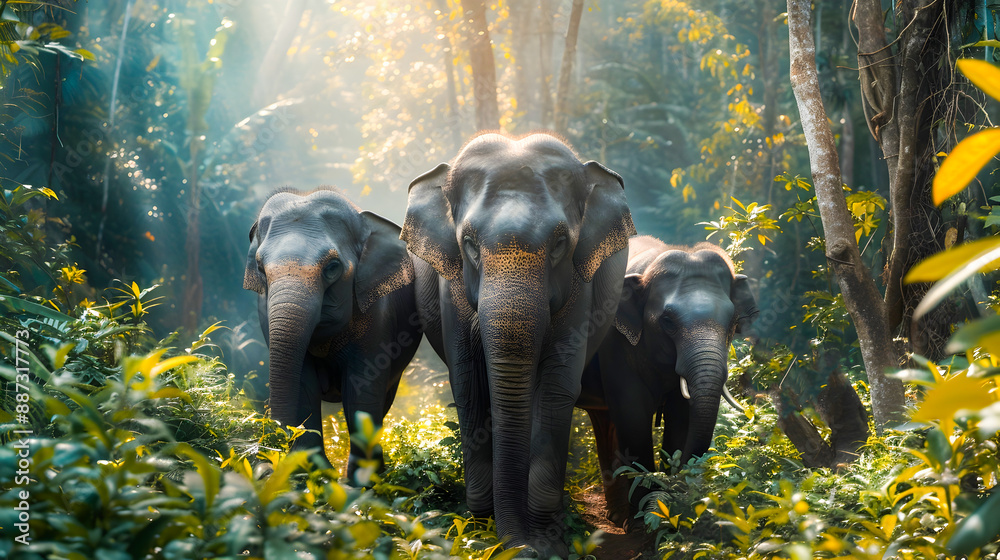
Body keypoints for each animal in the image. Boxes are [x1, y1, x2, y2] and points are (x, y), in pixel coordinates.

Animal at [243, 187, 421, 480]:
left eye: (332, 267)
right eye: (260, 267)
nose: (266, 468)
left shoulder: (377, 312)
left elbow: (363, 387)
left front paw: (362, 482)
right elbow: (304, 384)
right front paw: (313, 474)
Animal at [402, 132, 635, 555]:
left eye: (560, 243)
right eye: (468, 243)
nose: (520, 549)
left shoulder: (581, 284)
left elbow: (557, 387)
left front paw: (546, 544)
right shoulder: (450, 286)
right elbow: (468, 385)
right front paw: (481, 534)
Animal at [577, 236, 758, 528]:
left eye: (733, 322)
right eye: (667, 321)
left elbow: (681, 417)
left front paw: (665, 509)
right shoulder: (613, 340)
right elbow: (632, 413)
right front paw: (643, 520)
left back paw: (616, 515)